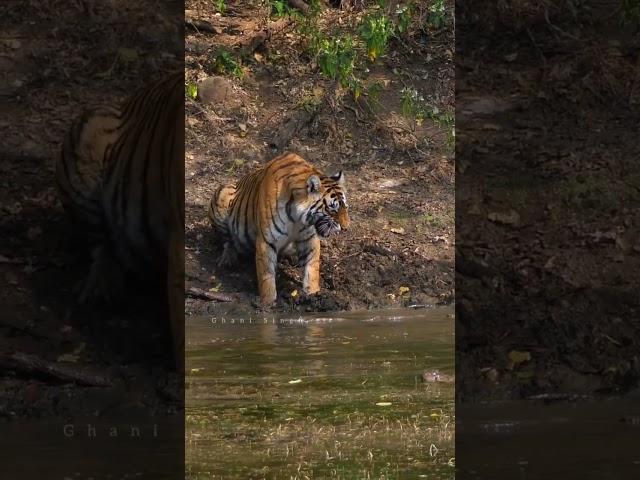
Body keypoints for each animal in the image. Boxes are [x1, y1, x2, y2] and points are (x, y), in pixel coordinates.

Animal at [209, 152, 350, 306]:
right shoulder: (266, 241)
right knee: (227, 241)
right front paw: (268, 303)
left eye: (345, 207)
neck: (297, 218)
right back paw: (228, 259)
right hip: (222, 195)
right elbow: (266, 276)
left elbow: (312, 269)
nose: (346, 228)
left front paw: (314, 295)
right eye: (332, 210)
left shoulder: (309, 239)